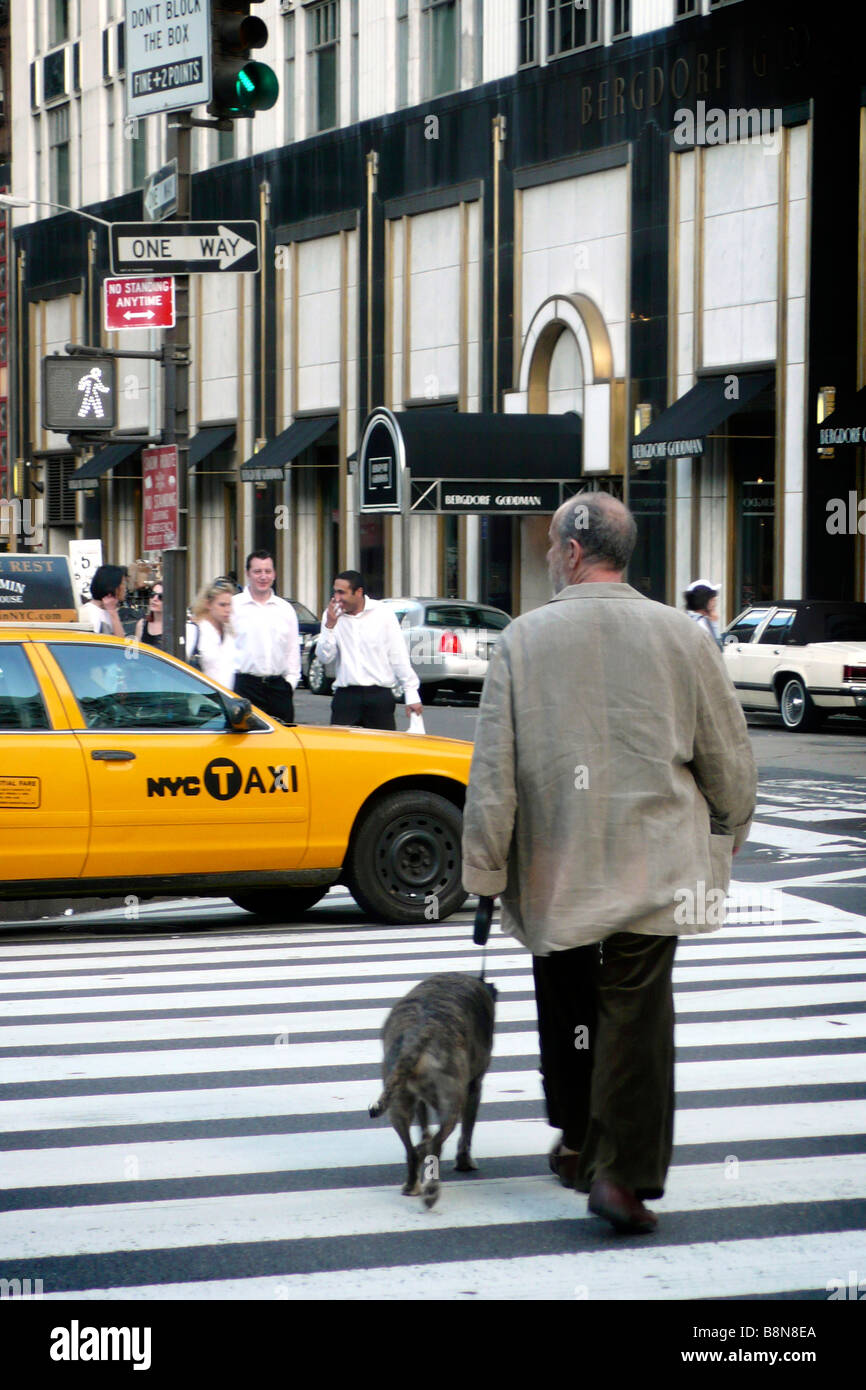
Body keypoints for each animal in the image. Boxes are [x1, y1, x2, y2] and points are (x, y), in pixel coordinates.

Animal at [369, 978, 497, 1206]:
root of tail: (416, 1041)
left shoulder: (419, 1097)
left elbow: (423, 1121)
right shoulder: (474, 1086)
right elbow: (467, 1130)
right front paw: (464, 1161)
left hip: (397, 1101)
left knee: (411, 1149)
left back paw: (412, 1183)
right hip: (452, 1101)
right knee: (438, 1142)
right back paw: (431, 1190)